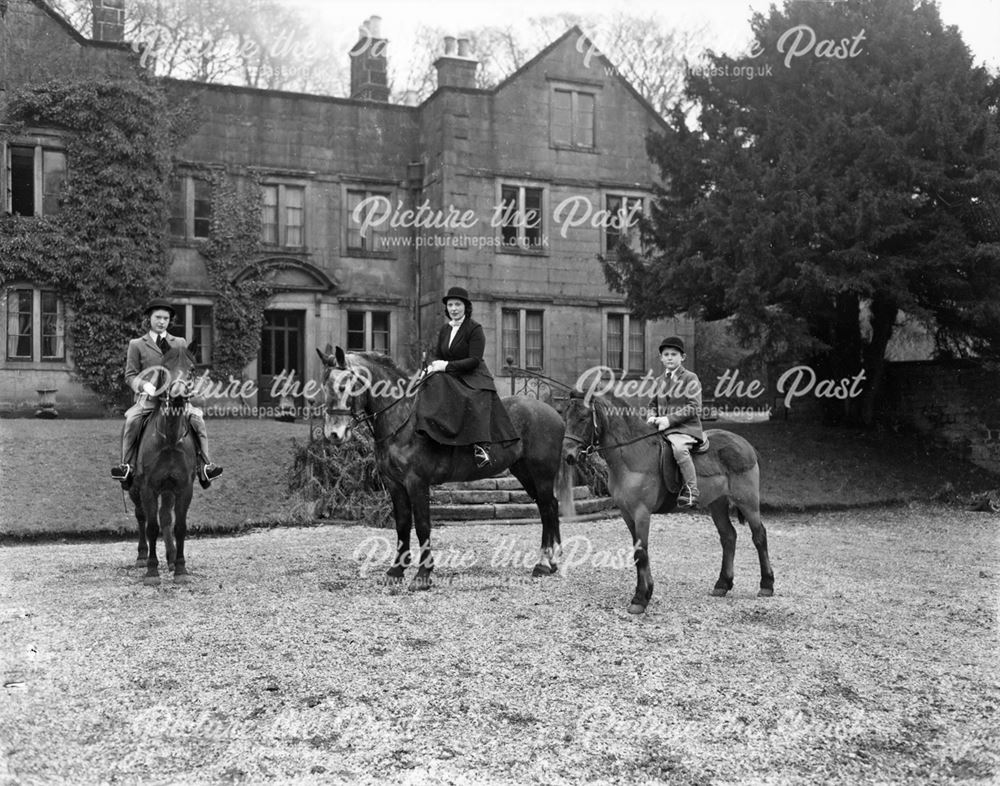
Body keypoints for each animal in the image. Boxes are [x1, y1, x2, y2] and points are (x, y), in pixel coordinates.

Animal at [129, 344, 199, 580]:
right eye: (165, 368)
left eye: (192, 369)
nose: (177, 395)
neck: (169, 438)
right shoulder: (147, 487)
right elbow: (151, 527)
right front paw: (152, 570)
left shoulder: (184, 487)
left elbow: (179, 527)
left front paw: (180, 568)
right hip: (134, 489)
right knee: (141, 517)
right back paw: (142, 556)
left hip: (168, 490)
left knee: (166, 518)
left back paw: (170, 558)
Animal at [316, 348, 576, 588]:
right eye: (324, 388)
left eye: (343, 387)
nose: (333, 434)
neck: (402, 421)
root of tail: (555, 414)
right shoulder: (395, 484)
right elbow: (402, 525)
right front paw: (396, 570)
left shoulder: (417, 483)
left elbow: (422, 525)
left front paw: (423, 575)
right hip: (524, 472)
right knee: (548, 506)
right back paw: (551, 561)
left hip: (541, 474)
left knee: (547, 507)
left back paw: (544, 562)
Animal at [564, 392, 772, 612]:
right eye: (566, 416)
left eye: (583, 418)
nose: (568, 455)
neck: (632, 453)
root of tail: (746, 445)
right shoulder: (627, 514)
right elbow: (638, 551)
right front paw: (645, 593)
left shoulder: (641, 513)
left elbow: (642, 553)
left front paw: (640, 598)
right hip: (718, 503)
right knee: (728, 536)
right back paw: (722, 584)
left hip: (748, 502)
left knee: (759, 536)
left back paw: (767, 585)